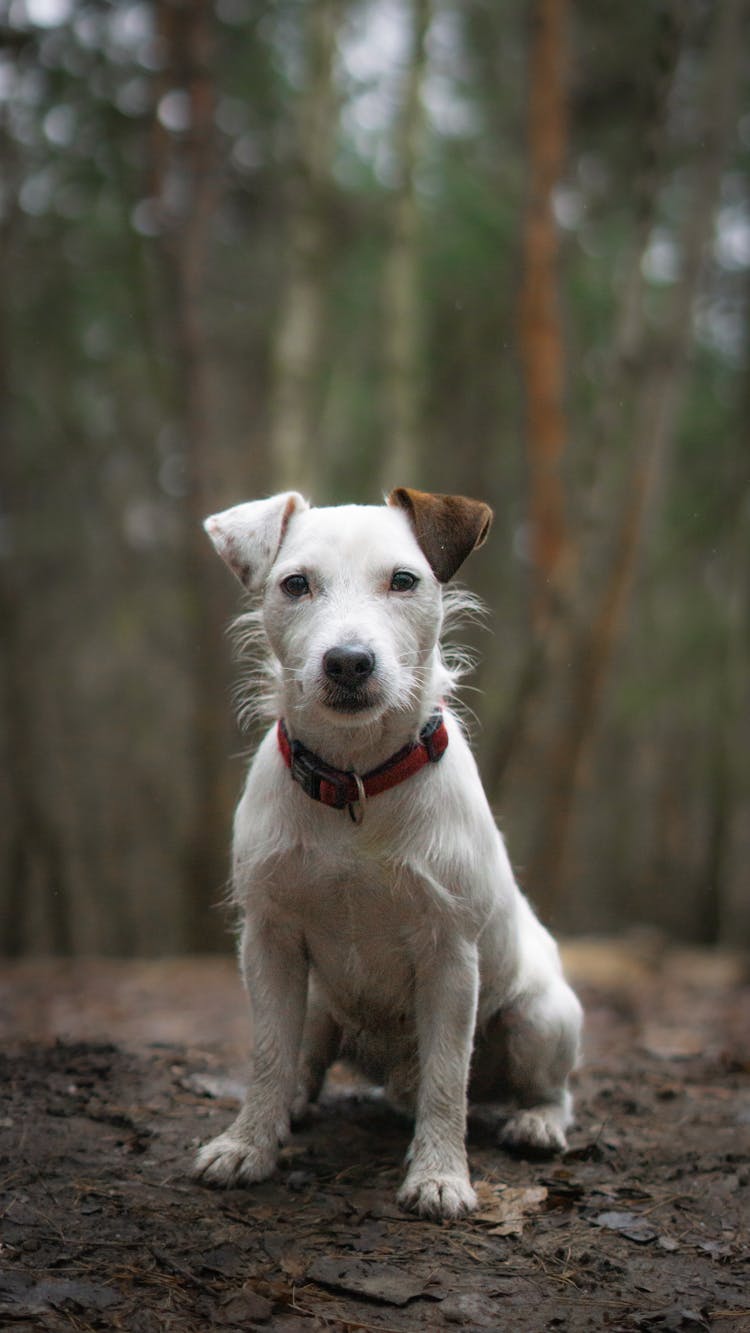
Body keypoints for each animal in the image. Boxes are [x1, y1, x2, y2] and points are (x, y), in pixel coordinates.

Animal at [193, 487, 580, 1221]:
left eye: (404, 580)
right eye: (295, 584)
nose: (348, 661)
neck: (357, 781)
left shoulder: (450, 956)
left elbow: (448, 1081)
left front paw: (441, 1174)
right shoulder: (269, 941)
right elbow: (268, 1054)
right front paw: (248, 1143)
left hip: (541, 1018)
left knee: (548, 1088)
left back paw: (536, 1121)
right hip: (318, 1005)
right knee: (305, 1061)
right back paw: (294, 1107)